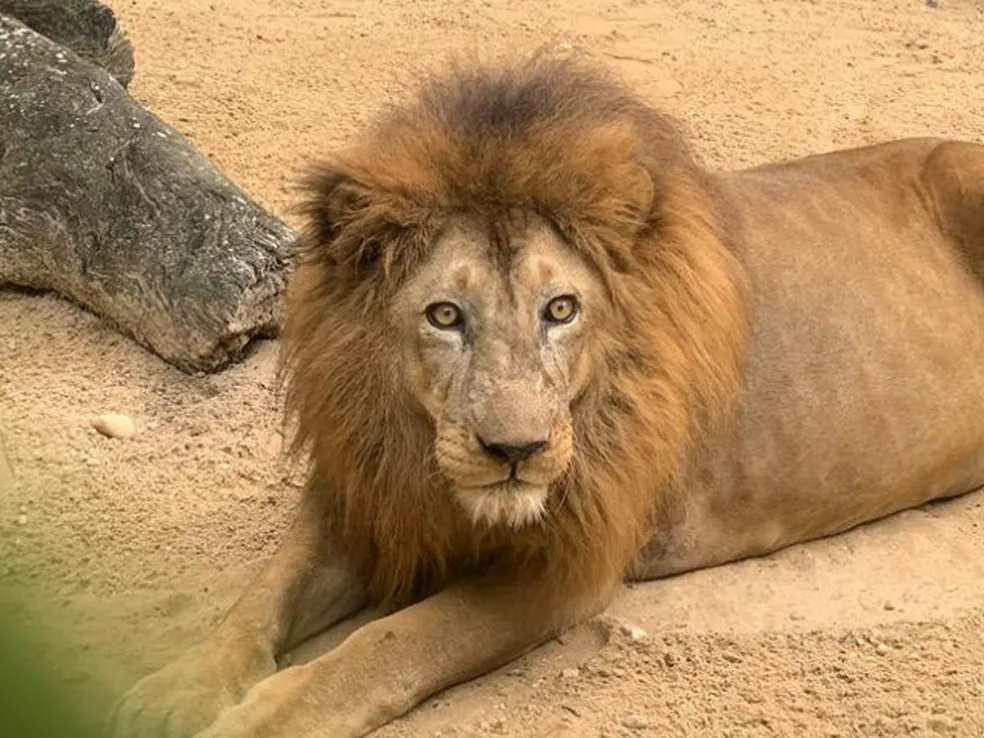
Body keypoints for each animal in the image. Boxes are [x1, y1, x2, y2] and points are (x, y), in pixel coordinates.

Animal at [107, 53, 984, 736]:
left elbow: (384, 648)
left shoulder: (570, 558)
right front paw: (174, 691)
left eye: (560, 309)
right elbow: (259, 599)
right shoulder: (367, 497)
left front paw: (261, 717)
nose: (516, 451)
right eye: (445, 315)